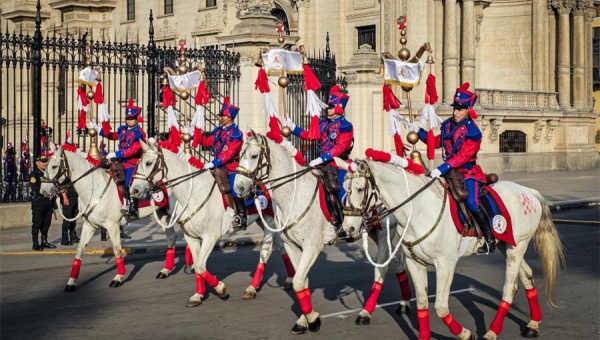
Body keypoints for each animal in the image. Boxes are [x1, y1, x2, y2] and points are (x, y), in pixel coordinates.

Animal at [38, 145, 176, 290]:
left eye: (54, 166)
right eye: (45, 166)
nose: (43, 191)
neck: (95, 187)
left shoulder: (112, 225)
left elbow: (117, 250)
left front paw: (118, 278)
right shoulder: (89, 225)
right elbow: (79, 250)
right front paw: (71, 282)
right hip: (162, 213)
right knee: (171, 237)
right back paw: (165, 271)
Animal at [129, 141, 296, 306]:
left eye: (148, 163)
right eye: (138, 163)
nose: (134, 190)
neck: (193, 193)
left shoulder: (210, 237)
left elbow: (201, 266)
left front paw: (221, 289)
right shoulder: (191, 237)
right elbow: (198, 266)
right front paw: (198, 295)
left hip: (269, 220)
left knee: (265, 252)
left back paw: (252, 288)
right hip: (264, 222)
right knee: (281, 245)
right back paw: (290, 278)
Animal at [233, 131, 412, 334]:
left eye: (254, 156)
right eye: (239, 155)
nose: (238, 188)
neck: (294, 194)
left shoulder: (312, 246)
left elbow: (298, 281)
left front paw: (313, 320)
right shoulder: (293, 246)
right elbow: (301, 282)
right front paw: (304, 320)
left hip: (383, 234)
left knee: (381, 268)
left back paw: (366, 313)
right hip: (375, 233)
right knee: (396, 261)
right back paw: (404, 302)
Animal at [340, 159, 564, 340]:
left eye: (359, 189)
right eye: (345, 189)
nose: (348, 229)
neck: (419, 209)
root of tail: (529, 192)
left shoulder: (445, 264)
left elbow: (440, 306)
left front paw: (465, 334)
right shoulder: (415, 263)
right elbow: (422, 304)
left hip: (516, 249)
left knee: (510, 288)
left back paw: (492, 332)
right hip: (507, 246)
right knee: (527, 276)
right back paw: (533, 324)